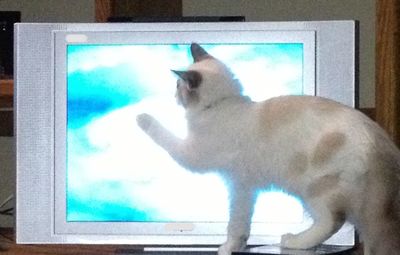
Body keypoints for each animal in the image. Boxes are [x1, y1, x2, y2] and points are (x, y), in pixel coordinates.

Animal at [138, 42, 400, 254]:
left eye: (177, 85)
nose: (173, 96)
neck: (222, 105)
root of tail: (379, 136)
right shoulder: (243, 187)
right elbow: (240, 225)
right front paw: (234, 247)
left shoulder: (195, 159)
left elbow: (163, 134)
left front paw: (141, 117)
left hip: (313, 189)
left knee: (332, 221)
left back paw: (293, 241)